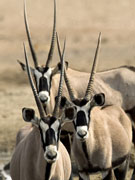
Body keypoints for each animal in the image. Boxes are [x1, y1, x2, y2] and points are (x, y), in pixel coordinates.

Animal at [59, 33, 132, 179]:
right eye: (71, 112)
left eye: (89, 111)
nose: (82, 133)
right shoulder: (83, 172)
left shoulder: (106, 169)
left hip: (123, 164)